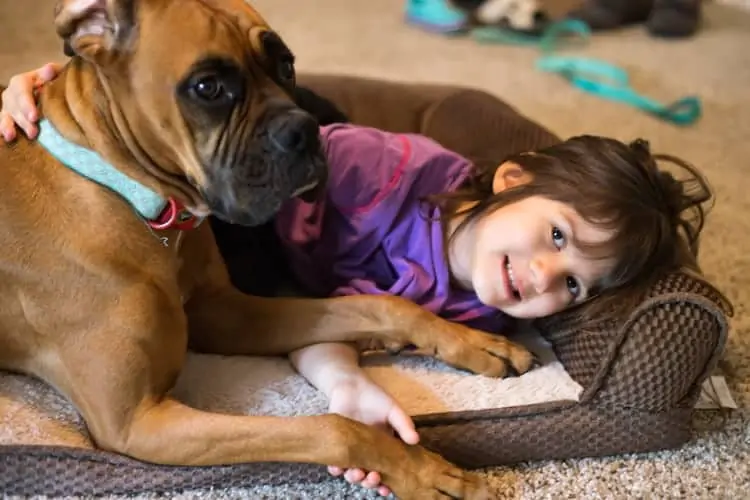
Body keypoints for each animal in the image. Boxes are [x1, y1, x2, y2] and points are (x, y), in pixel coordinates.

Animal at [0, 1, 536, 498]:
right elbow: (334, 428)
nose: (305, 130)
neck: (131, 195)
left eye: (286, 65)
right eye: (208, 88)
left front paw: (474, 342)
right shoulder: (137, 422)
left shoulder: (226, 314)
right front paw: (423, 472)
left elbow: (379, 303)